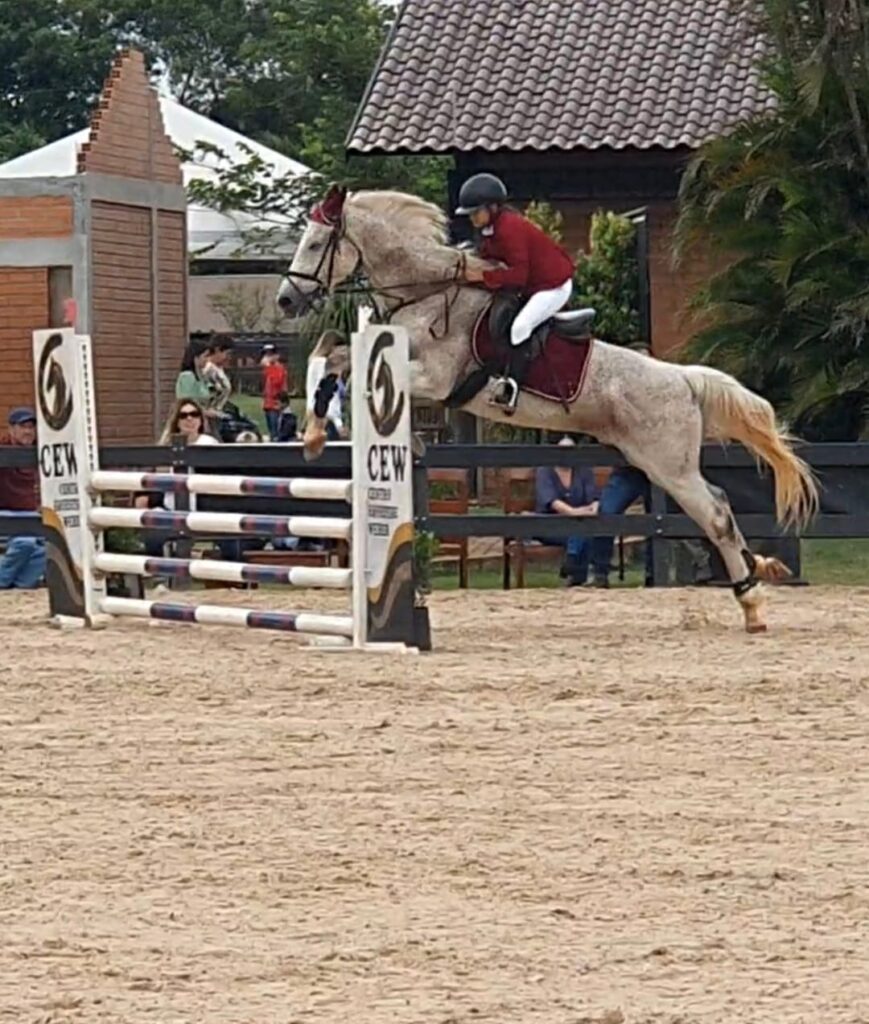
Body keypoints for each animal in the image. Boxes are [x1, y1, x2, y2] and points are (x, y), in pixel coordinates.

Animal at [280, 185, 818, 630]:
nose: (286, 300)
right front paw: (316, 431)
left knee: (716, 515)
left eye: (316, 244)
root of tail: (682, 379)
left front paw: (320, 432)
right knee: (720, 505)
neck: (427, 293)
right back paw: (758, 573)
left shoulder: (434, 378)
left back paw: (751, 603)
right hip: (659, 464)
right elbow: (332, 355)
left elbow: (352, 371)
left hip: (669, 466)